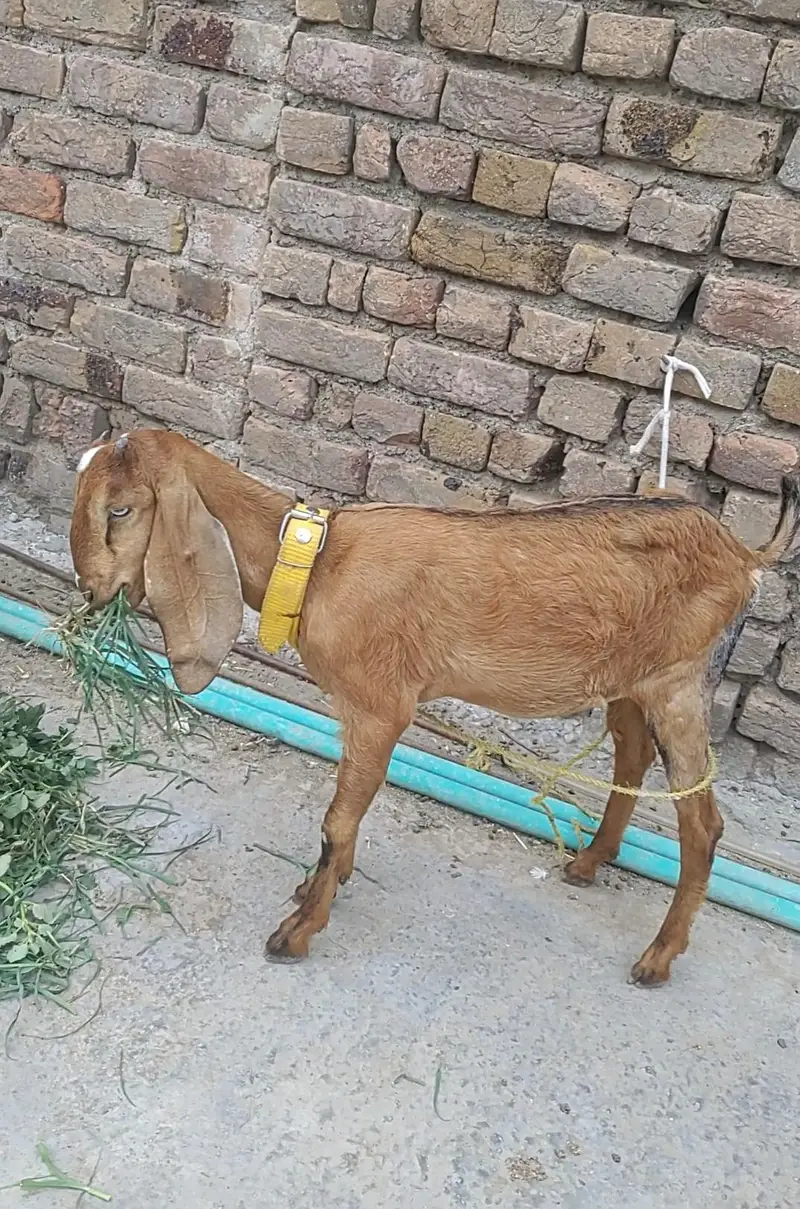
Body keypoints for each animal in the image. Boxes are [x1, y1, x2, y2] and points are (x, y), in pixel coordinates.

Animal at [70, 429, 800, 985]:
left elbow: (337, 820)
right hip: (629, 681)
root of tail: (743, 551)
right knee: (632, 754)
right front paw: (319, 886)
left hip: (678, 681)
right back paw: (589, 863)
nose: (90, 589)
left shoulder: (381, 706)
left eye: (120, 511)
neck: (316, 563)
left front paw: (298, 929)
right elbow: (344, 821)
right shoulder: (354, 711)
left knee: (702, 822)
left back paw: (656, 957)